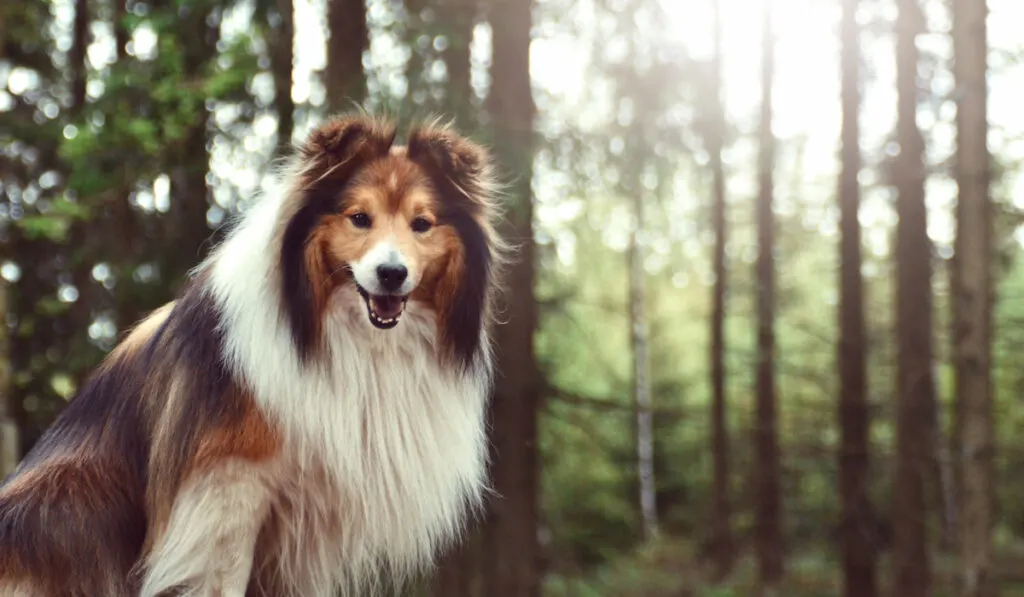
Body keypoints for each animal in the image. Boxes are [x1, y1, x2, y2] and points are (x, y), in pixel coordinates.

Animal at [0, 115, 501, 597]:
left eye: (422, 224)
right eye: (360, 217)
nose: (392, 274)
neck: (338, 332)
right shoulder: (228, 485)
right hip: (68, 493)